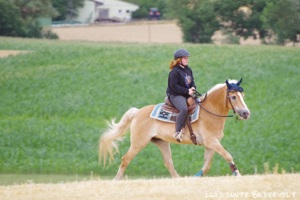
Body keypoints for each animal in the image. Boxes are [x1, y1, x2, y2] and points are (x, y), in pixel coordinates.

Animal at [99, 78, 251, 180]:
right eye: (233, 96)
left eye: (242, 96)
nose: (246, 113)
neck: (209, 111)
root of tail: (137, 112)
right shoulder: (211, 141)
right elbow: (228, 155)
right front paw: (237, 174)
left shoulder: (211, 144)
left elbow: (207, 165)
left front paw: (195, 177)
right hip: (138, 143)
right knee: (125, 159)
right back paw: (116, 180)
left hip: (162, 142)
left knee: (168, 163)